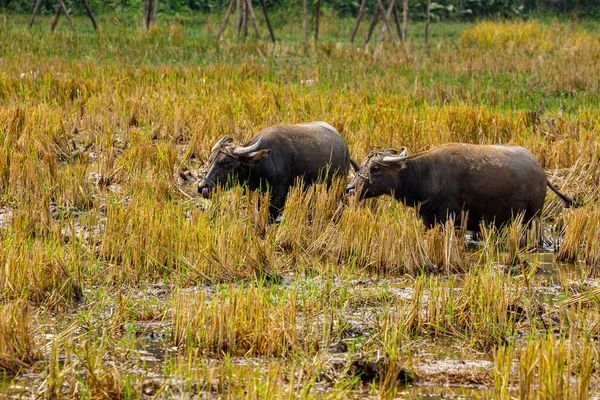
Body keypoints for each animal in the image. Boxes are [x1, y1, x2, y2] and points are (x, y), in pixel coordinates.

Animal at [198, 122, 356, 222]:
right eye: (210, 160)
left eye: (227, 163)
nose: (202, 187)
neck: (261, 167)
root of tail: (344, 147)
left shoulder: (279, 198)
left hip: (338, 185)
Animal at [344, 144, 580, 231]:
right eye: (363, 165)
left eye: (375, 168)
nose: (350, 188)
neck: (426, 175)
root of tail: (540, 171)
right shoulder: (428, 218)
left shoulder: (447, 217)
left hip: (532, 218)